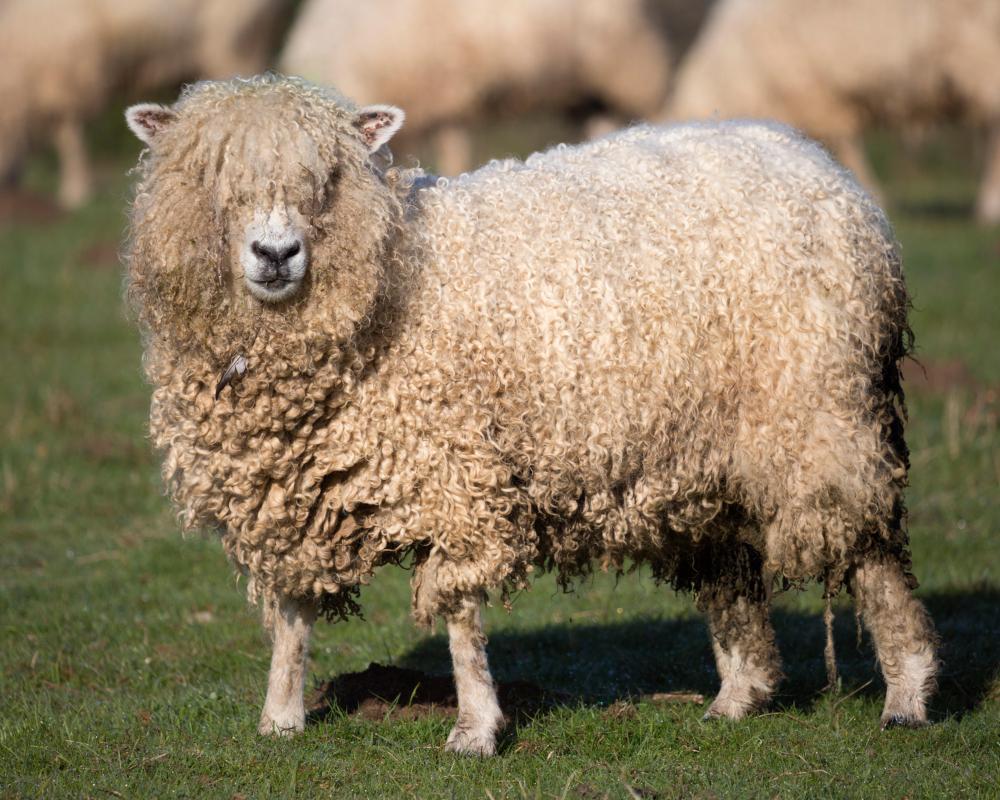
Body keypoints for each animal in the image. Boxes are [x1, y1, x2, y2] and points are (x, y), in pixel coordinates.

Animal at [124, 74, 937, 755]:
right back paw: (738, 698)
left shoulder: (453, 473)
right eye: (209, 181)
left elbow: (458, 612)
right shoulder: (287, 490)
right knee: (733, 566)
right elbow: (293, 612)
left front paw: (474, 730)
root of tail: (817, 164)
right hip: (709, 450)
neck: (390, 275)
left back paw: (906, 695)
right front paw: (281, 717)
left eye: (327, 181)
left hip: (821, 414)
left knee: (872, 551)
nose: (276, 253)